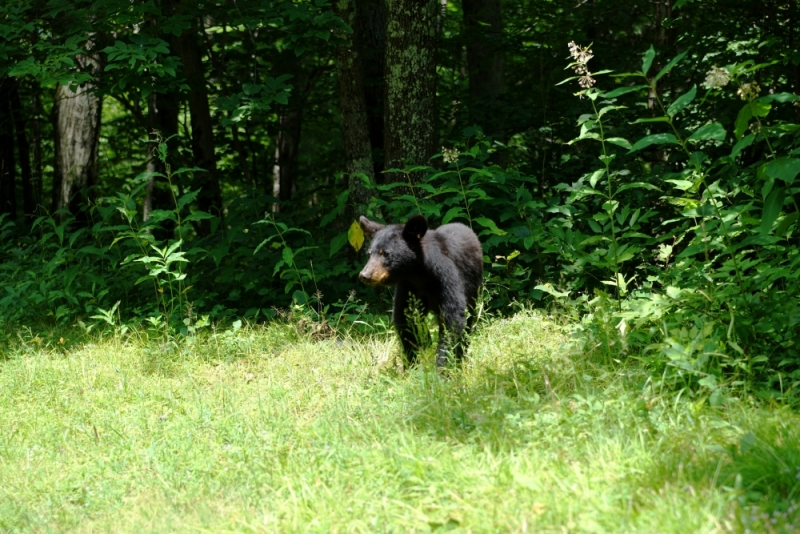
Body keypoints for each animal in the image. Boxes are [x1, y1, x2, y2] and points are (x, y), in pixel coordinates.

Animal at [360, 215, 484, 368]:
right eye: (369, 253)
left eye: (386, 253)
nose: (365, 275)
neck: (419, 274)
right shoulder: (408, 287)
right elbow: (404, 319)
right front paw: (411, 364)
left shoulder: (447, 278)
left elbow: (452, 319)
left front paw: (442, 367)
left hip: (473, 287)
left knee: (468, 319)